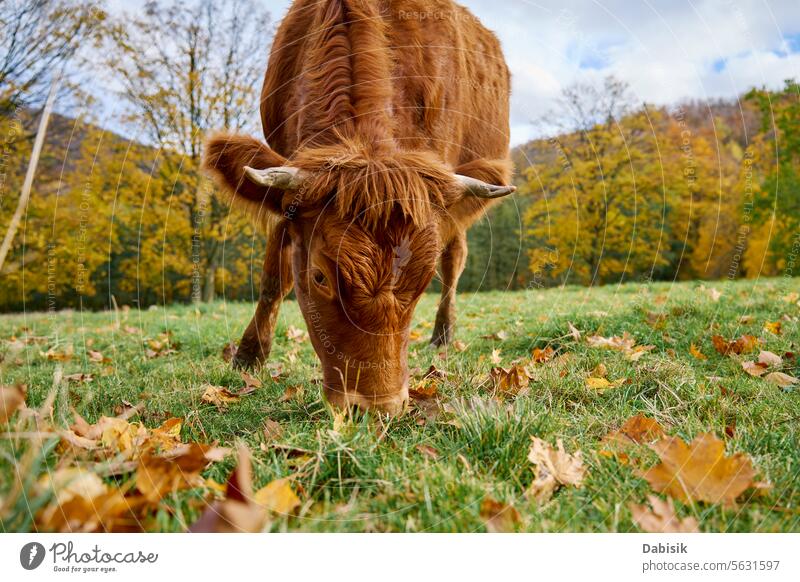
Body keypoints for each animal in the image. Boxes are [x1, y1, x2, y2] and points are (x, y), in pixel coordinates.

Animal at [205, 0, 512, 416]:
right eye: (319, 277)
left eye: (421, 281)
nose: (377, 407)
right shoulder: (284, 177)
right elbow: (274, 276)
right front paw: (249, 355)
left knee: (455, 259)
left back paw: (442, 334)